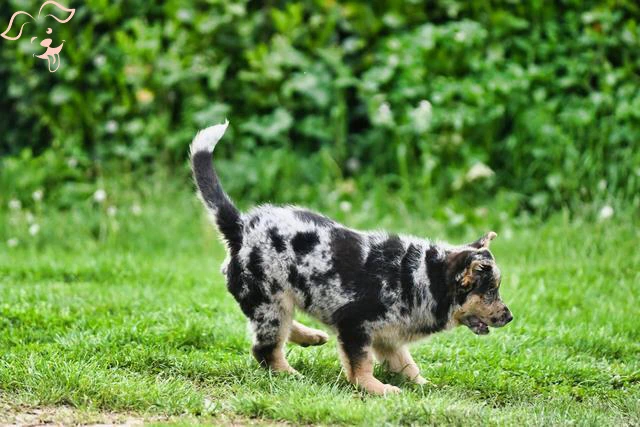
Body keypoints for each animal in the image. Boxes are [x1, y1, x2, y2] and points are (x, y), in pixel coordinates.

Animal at [191, 120, 516, 394]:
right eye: (490, 291)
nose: (510, 316)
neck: (425, 277)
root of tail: (240, 227)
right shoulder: (355, 326)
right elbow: (361, 366)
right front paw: (378, 390)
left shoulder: (388, 337)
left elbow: (407, 364)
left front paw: (425, 387)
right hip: (269, 300)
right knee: (265, 348)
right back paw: (291, 376)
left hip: (278, 300)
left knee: (277, 328)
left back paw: (311, 336)